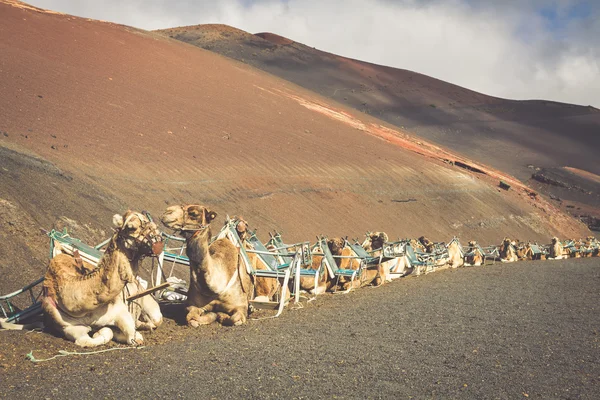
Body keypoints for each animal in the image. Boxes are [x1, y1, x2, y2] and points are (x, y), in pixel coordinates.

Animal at [41, 212, 164, 346]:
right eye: (131, 227)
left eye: (148, 221)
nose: (159, 238)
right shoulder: (69, 327)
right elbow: (91, 338)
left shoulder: (119, 310)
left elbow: (132, 336)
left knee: (156, 320)